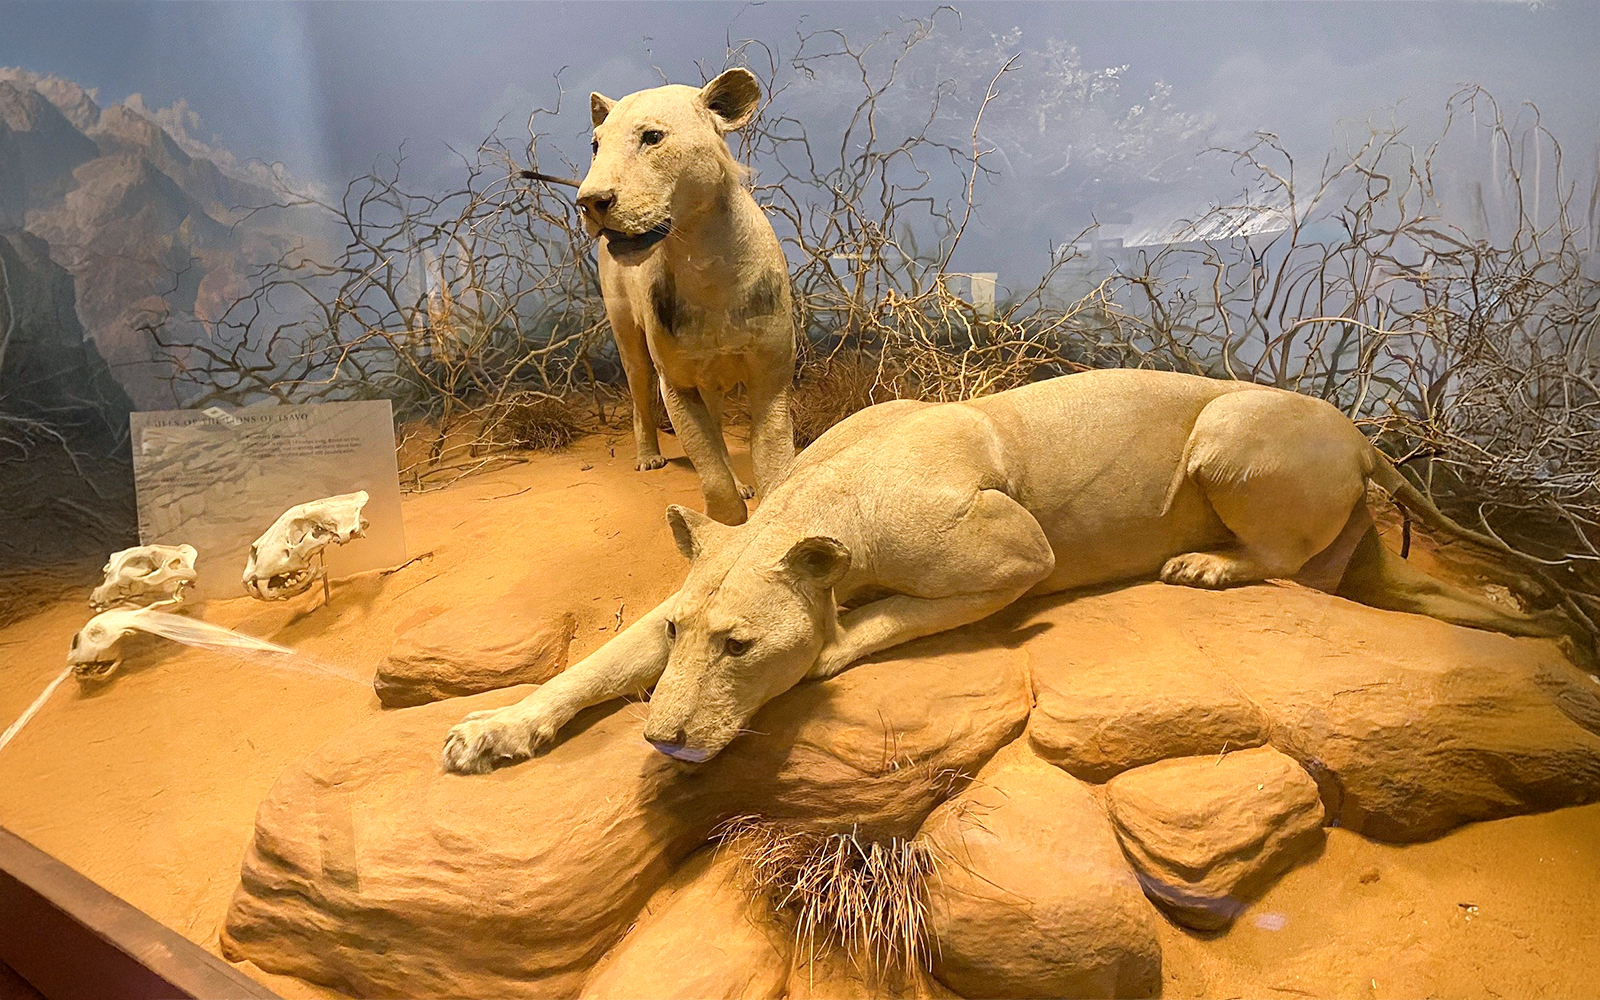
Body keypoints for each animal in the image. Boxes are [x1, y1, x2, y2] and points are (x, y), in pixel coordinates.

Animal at [442, 369, 1584, 773]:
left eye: (741, 647)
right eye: (690, 637)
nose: (666, 741)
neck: (818, 509)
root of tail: (1365, 437)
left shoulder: (1017, 556)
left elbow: (885, 619)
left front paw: (831, 645)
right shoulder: (674, 603)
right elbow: (593, 667)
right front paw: (497, 729)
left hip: (1224, 432)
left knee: (1278, 565)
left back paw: (1204, 567)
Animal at [579, 68, 796, 526]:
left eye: (652, 137)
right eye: (595, 145)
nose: (590, 201)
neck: (706, 265)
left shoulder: (771, 378)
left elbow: (773, 463)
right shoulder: (676, 384)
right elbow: (711, 475)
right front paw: (722, 526)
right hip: (630, 342)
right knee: (640, 399)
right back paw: (648, 457)